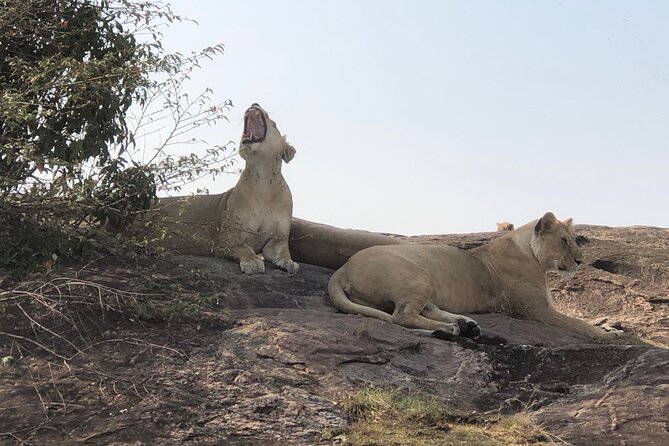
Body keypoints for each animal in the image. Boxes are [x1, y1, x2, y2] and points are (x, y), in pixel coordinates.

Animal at [152, 103, 299, 275]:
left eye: (274, 123)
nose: (254, 104)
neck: (263, 181)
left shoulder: (277, 239)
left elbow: (283, 252)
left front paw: (289, 263)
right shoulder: (226, 238)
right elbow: (244, 247)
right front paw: (252, 262)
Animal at [328, 212, 620, 339]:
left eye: (575, 240)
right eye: (564, 241)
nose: (581, 261)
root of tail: (343, 268)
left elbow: (581, 319)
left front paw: (609, 325)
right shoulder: (537, 311)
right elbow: (577, 323)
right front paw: (607, 335)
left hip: (423, 282)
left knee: (424, 310)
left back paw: (466, 324)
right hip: (416, 276)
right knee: (402, 315)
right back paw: (451, 328)